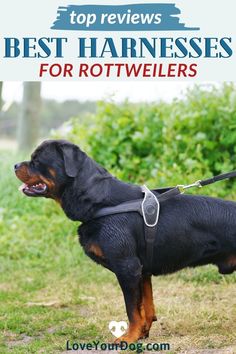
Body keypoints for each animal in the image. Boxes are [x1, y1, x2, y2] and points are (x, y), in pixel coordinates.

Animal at [14, 139, 236, 342]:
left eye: (37, 160)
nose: (15, 165)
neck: (98, 202)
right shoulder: (142, 270)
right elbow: (146, 306)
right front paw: (142, 333)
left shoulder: (127, 268)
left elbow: (132, 309)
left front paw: (128, 337)